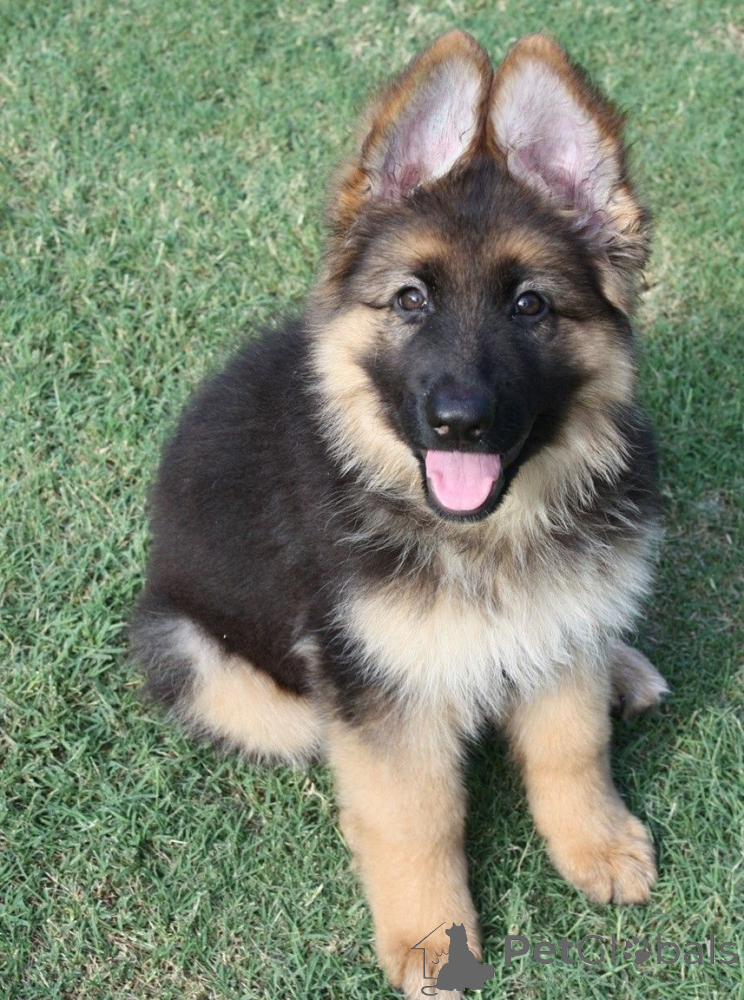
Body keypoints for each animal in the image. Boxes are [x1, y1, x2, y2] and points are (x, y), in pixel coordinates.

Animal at [131, 32, 670, 997]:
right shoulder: (381, 686)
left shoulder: (563, 614)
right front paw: (431, 940)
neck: (485, 533)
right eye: (411, 299)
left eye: (531, 304)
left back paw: (624, 669)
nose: (459, 421)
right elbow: (416, 815)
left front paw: (596, 843)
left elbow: (573, 748)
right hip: (200, 654)